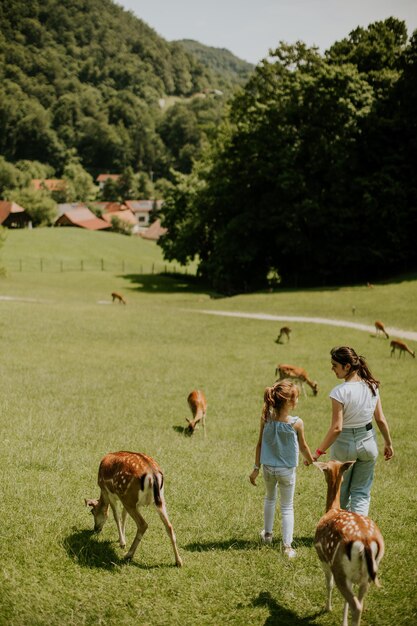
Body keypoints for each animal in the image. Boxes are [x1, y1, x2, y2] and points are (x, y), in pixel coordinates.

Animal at [312, 458, 384, 624]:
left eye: (325, 470)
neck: (332, 509)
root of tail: (366, 542)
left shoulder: (323, 558)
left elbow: (329, 584)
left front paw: (328, 608)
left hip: (338, 567)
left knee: (355, 605)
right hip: (369, 574)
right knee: (359, 603)